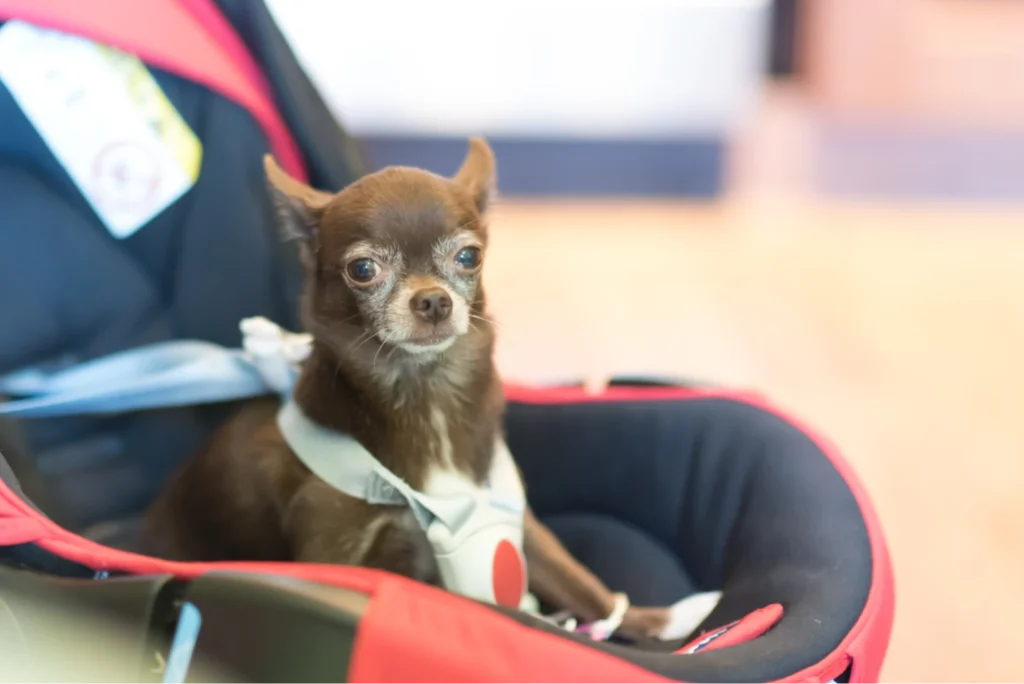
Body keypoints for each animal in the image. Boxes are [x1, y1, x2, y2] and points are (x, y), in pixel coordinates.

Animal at [144, 139, 671, 643]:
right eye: (362, 269)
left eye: (469, 257)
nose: (434, 300)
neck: (425, 391)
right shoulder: (335, 552)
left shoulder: (521, 524)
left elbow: (576, 578)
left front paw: (651, 621)